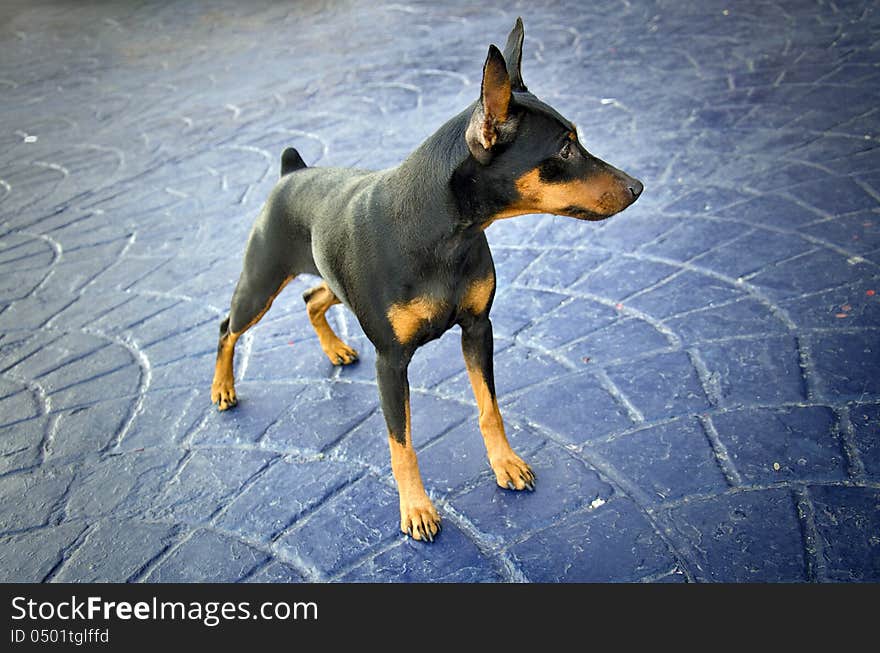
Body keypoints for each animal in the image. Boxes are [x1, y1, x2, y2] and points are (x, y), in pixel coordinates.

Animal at [210, 19, 644, 540]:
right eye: (565, 147)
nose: (638, 187)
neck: (442, 233)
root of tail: (290, 172)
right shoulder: (391, 362)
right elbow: (402, 446)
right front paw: (415, 509)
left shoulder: (478, 327)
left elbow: (489, 409)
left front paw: (505, 464)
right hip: (259, 284)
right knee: (227, 329)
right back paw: (223, 389)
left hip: (332, 284)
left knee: (312, 298)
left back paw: (335, 349)